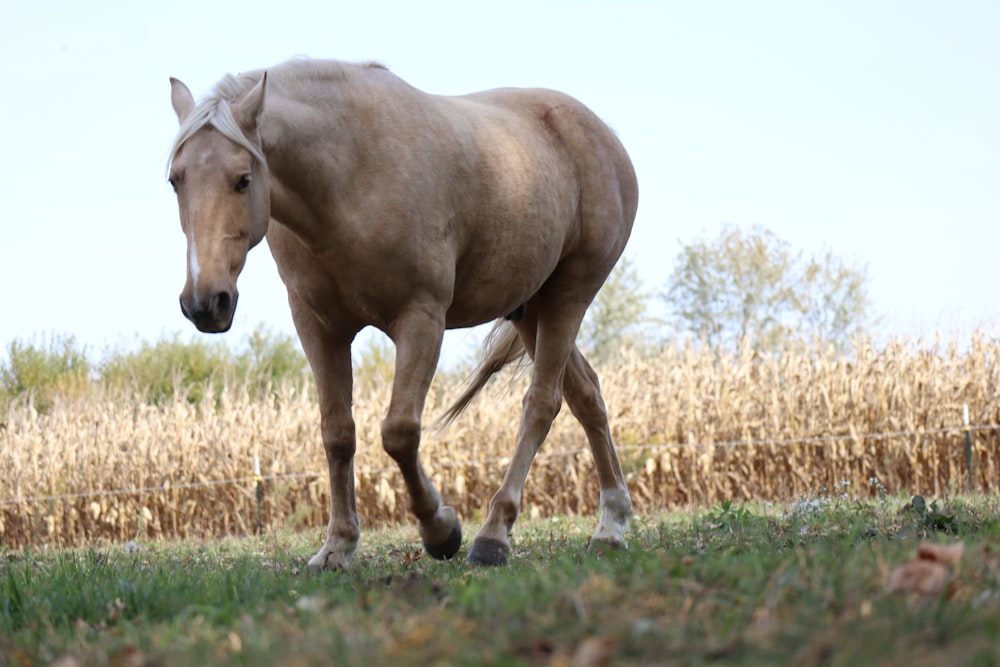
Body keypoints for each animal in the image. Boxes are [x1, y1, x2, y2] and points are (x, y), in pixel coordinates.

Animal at [170, 58, 640, 568]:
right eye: (175, 179)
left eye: (243, 179)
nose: (204, 302)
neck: (348, 175)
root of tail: (603, 135)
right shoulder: (318, 327)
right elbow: (338, 433)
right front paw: (337, 546)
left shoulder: (420, 319)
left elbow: (399, 431)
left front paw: (441, 531)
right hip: (532, 309)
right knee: (585, 396)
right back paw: (611, 525)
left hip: (569, 296)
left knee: (541, 405)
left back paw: (494, 536)